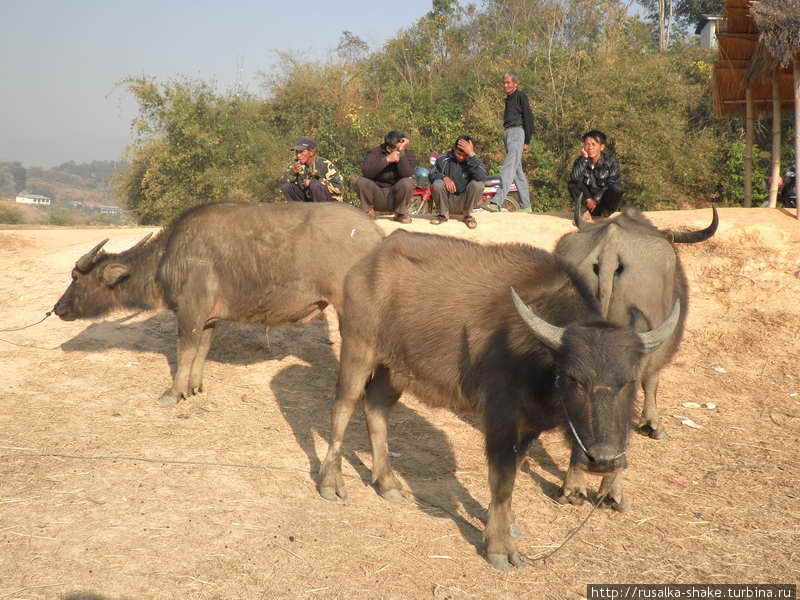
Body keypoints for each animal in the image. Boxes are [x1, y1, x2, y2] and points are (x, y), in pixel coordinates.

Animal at [54, 200, 384, 404]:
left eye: (76, 277)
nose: (58, 308)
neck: (169, 257)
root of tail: (377, 234)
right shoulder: (209, 319)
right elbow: (201, 351)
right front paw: (194, 387)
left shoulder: (190, 313)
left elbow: (185, 351)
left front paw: (173, 392)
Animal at [316, 231, 680, 572]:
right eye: (574, 378)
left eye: (628, 381)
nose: (603, 459)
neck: (537, 360)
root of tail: (368, 261)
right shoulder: (500, 420)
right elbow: (502, 479)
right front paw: (500, 547)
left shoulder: (530, 426)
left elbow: (515, 471)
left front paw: (503, 524)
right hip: (358, 347)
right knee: (343, 408)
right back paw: (331, 483)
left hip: (394, 370)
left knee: (376, 410)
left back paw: (387, 483)